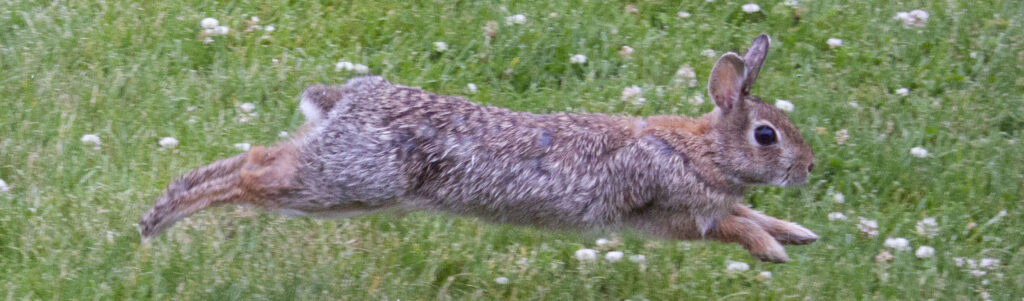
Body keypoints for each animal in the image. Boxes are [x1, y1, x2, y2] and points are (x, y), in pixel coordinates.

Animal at [142, 34, 815, 262]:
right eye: (766, 135)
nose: (809, 167)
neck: (703, 150)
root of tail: (344, 103)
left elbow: (750, 210)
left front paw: (799, 234)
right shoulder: (670, 212)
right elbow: (732, 225)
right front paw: (773, 252)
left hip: (334, 170)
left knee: (255, 158)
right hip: (347, 183)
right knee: (253, 172)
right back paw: (158, 221)